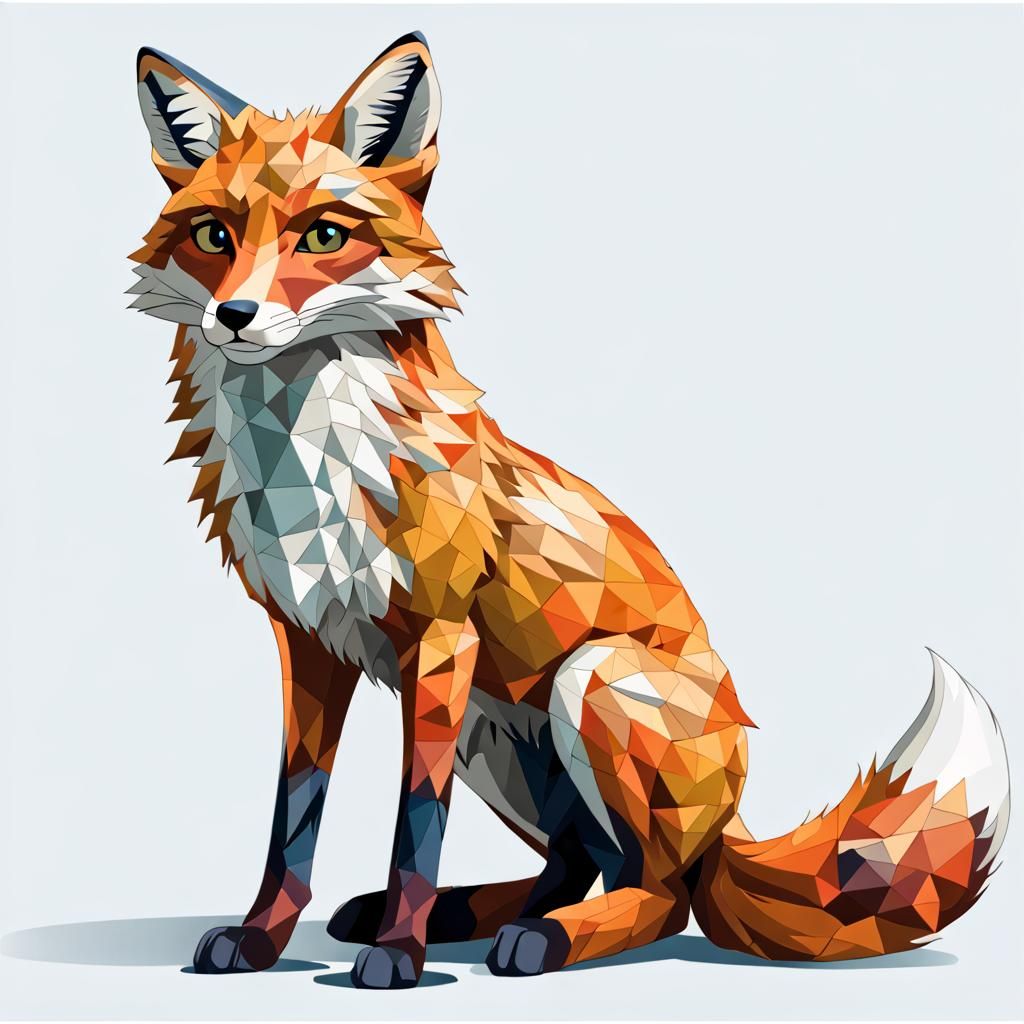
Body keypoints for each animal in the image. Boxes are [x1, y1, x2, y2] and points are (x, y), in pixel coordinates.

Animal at [130, 34, 1010, 989]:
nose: (235, 315)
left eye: (324, 234)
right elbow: (292, 820)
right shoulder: (310, 643)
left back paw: (535, 940)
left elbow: (417, 824)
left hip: (590, 679)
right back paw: (482, 917)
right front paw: (263, 939)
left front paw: (398, 955)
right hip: (497, 733)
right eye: (214, 236)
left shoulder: (441, 639)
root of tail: (728, 825)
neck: (307, 455)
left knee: (660, 894)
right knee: (581, 862)